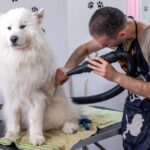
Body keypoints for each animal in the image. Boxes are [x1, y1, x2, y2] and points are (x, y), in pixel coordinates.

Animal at [0, 7, 79, 145]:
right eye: (8, 28)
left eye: (22, 26)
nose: (13, 38)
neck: (20, 58)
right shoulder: (12, 98)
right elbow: (13, 119)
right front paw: (11, 135)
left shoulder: (36, 98)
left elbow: (35, 121)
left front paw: (36, 138)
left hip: (59, 109)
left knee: (72, 117)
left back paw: (70, 127)